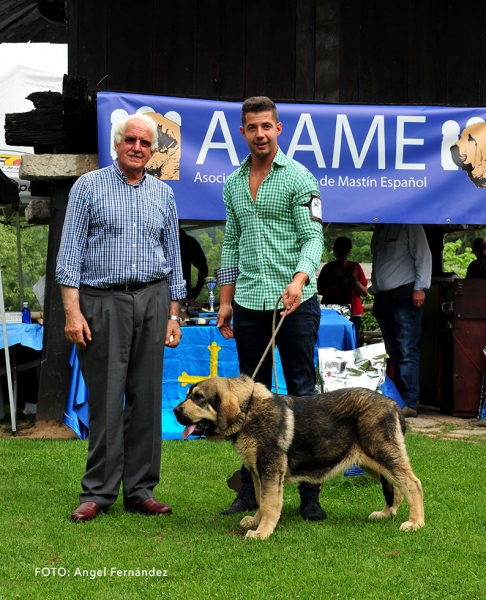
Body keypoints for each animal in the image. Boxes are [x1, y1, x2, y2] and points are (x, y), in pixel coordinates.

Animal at [173, 376, 424, 540]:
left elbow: (270, 503)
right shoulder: (257, 471)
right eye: (189, 396)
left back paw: (415, 523)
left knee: (413, 484)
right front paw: (256, 521)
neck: (248, 409)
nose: (175, 411)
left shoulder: (270, 468)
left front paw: (262, 532)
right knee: (397, 488)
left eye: (199, 398)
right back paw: (386, 513)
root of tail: (393, 404)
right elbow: (261, 500)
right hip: (371, 461)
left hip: (381, 454)